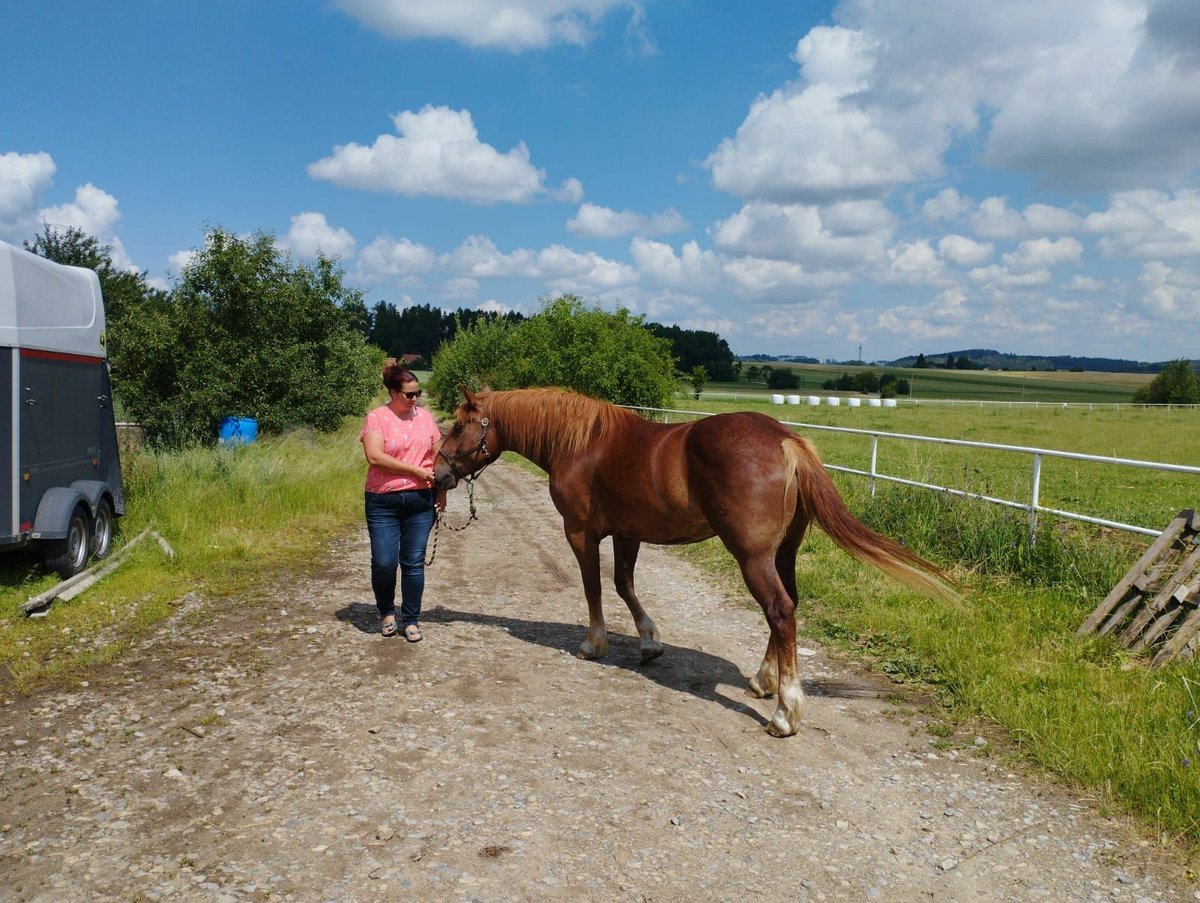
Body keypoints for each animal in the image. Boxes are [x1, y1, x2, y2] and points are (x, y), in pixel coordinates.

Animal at [434, 386, 955, 734]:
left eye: (459, 425)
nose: (438, 473)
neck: (580, 443)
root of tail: (786, 441)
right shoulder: (628, 533)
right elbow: (624, 584)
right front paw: (649, 643)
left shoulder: (581, 532)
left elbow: (594, 587)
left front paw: (594, 644)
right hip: (783, 553)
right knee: (787, 608)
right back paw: (763, 681)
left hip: (753, 557)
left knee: (779, 611)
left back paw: (784, 712)